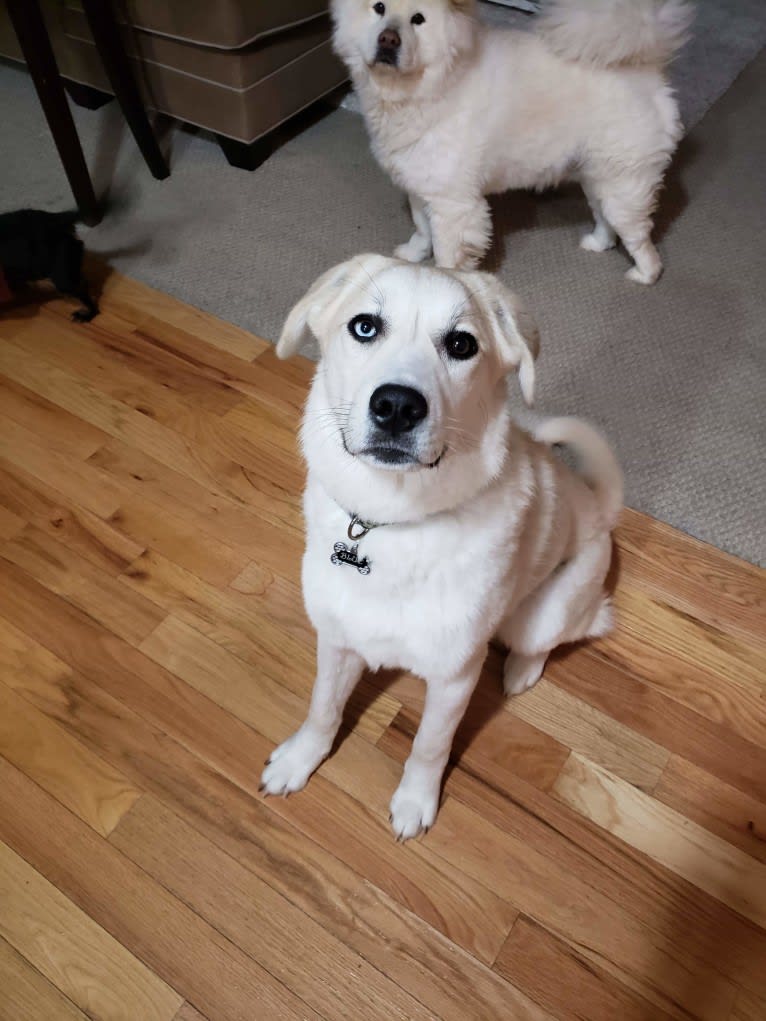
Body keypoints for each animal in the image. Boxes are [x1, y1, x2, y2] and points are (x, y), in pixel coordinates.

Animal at [263, 255, 625, 837]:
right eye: (365, 327)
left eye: (461, 344)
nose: (396, 406)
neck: (392, 523)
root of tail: (599, 506)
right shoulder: (337, 640)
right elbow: (323, 708)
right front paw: (301, 759)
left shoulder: (454, 678)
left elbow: (429, 747)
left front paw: (415, 802)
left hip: (547, 612)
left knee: (569, 630)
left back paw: (521, 669)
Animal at [332, 0, 694, 283]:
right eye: (379, 8)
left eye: (418, 19)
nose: (388, 39)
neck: (424, 90)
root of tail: (646, 69)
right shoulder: (422, 188)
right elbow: (423, 231)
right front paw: (411, 254)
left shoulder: (454, 205)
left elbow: (447, 254)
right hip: (597, 175)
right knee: (604, 218)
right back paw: (596, 242)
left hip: (624, 182)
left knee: (640, 239)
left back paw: (644, 274)